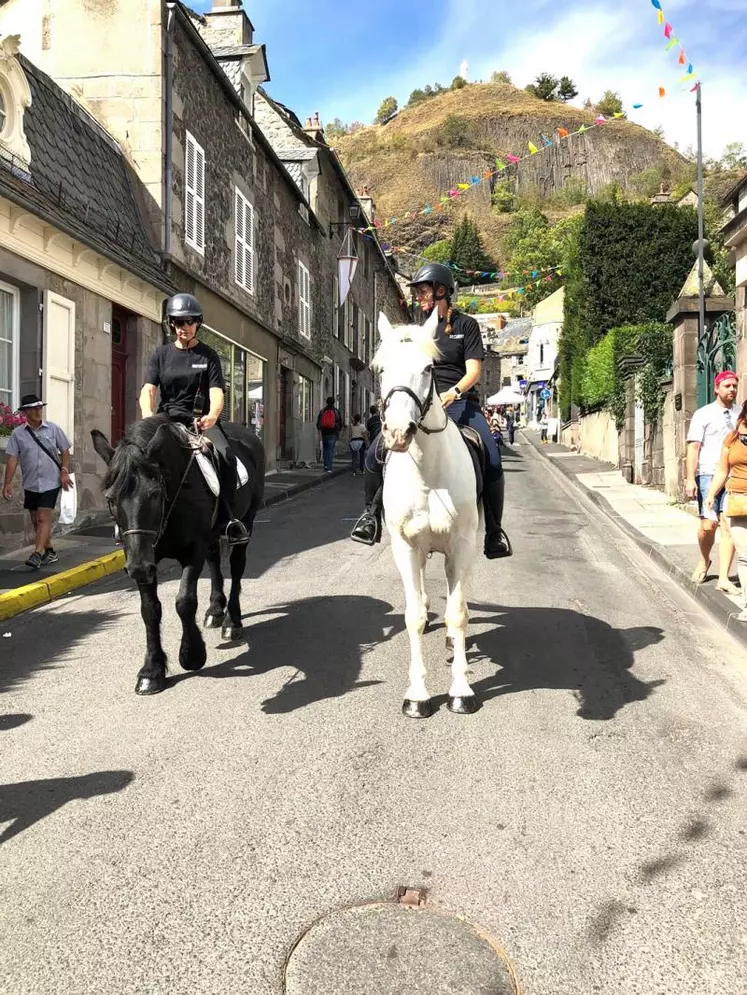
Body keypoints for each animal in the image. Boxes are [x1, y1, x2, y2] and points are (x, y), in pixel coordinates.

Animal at [92, 416, 266, 696]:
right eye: (110, 498)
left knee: (237, 567)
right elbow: (149, 609)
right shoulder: (146, 555)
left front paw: (192, 655)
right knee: (215, 562)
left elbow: (184, 601)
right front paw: (151, 671)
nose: (137, 568)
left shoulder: (192, 551)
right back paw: (215, 610)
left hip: (247, 522)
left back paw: (232, 622)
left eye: (154, 493)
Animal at [376, 310, 482, 716]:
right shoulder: (405, 547)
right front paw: (418, 695)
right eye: (380, 369)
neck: (427, 473)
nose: (397, 433)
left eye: (427, 368)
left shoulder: (462, 545)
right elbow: (414, 617)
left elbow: (457, 613)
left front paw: (461, 691)